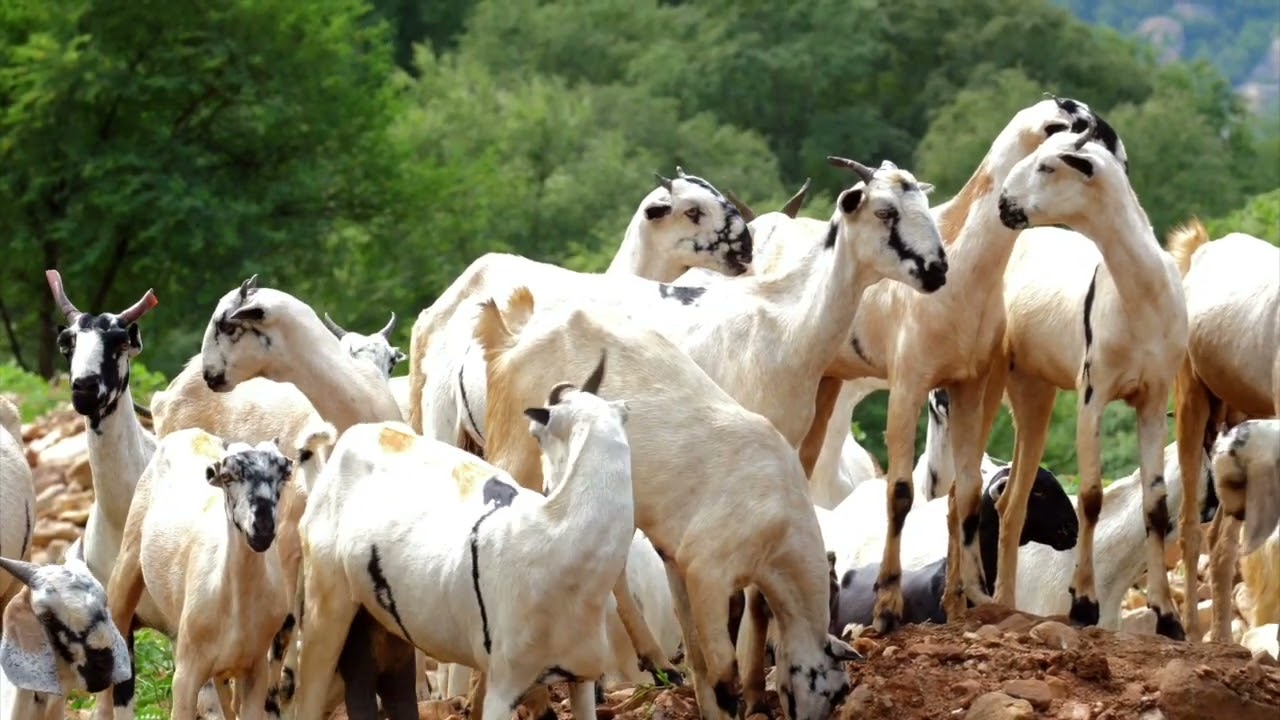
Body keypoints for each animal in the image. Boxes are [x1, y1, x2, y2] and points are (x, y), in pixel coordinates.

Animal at [104, 430, 294, 720]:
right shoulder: (186, 674)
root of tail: (192, 433)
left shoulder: (255, 669)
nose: (262, 527)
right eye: (227, 476)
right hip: (128, 558)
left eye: (284, 473)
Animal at [473, 287, 859, 720]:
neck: (781, 525)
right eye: (837, 691)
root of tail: (507, 342)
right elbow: (723, 672)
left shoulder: (680, 563)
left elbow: (703, 657)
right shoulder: (708, 572)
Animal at [810, 96, 1128, 632]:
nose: (1121, 167)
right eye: (1081, 127)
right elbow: (900, 493)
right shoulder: (908, 384)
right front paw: (888, 606)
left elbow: (967, 491)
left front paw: (966, 601)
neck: (963, 266)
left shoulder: (972, 385)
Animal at [994, 123, 1188, 638]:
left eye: (1047, 165)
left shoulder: (1153, 400)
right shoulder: (1092, 397)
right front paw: (1083, 603)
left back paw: (1003, 601)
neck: (1140, 296)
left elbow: (1155, 505)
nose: (1004, 203)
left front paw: (1169, 617)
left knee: (1011, 506)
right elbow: (1092, 497)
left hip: (1034, 395)